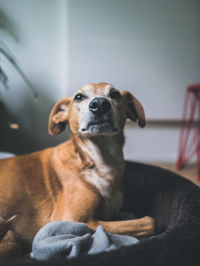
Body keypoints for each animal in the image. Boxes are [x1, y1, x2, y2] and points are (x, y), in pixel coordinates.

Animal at [0, 82, 155, 256]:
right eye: (79, 97)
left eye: (114, 94)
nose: (99, 104)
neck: (98, 162)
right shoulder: (76, 221)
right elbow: (149, 222)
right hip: (12, 234)